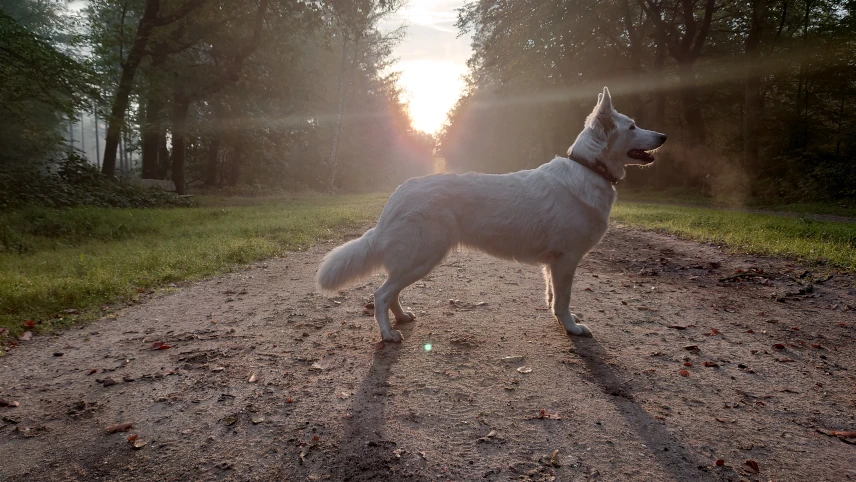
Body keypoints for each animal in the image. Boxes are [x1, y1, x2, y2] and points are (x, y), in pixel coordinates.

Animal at [318, 87, 664, 342]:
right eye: (632, 126)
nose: (664, 137)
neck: (590, 169)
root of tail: (398, 195)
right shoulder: (566, 260)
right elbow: (563, 300)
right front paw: (571, 328)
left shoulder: (554, 264)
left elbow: (553, 298)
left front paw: (562, 320)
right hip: (422, 257)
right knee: (380, 294)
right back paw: (388, 333)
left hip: (417, 260)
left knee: (391, 292)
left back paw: (401, 317)